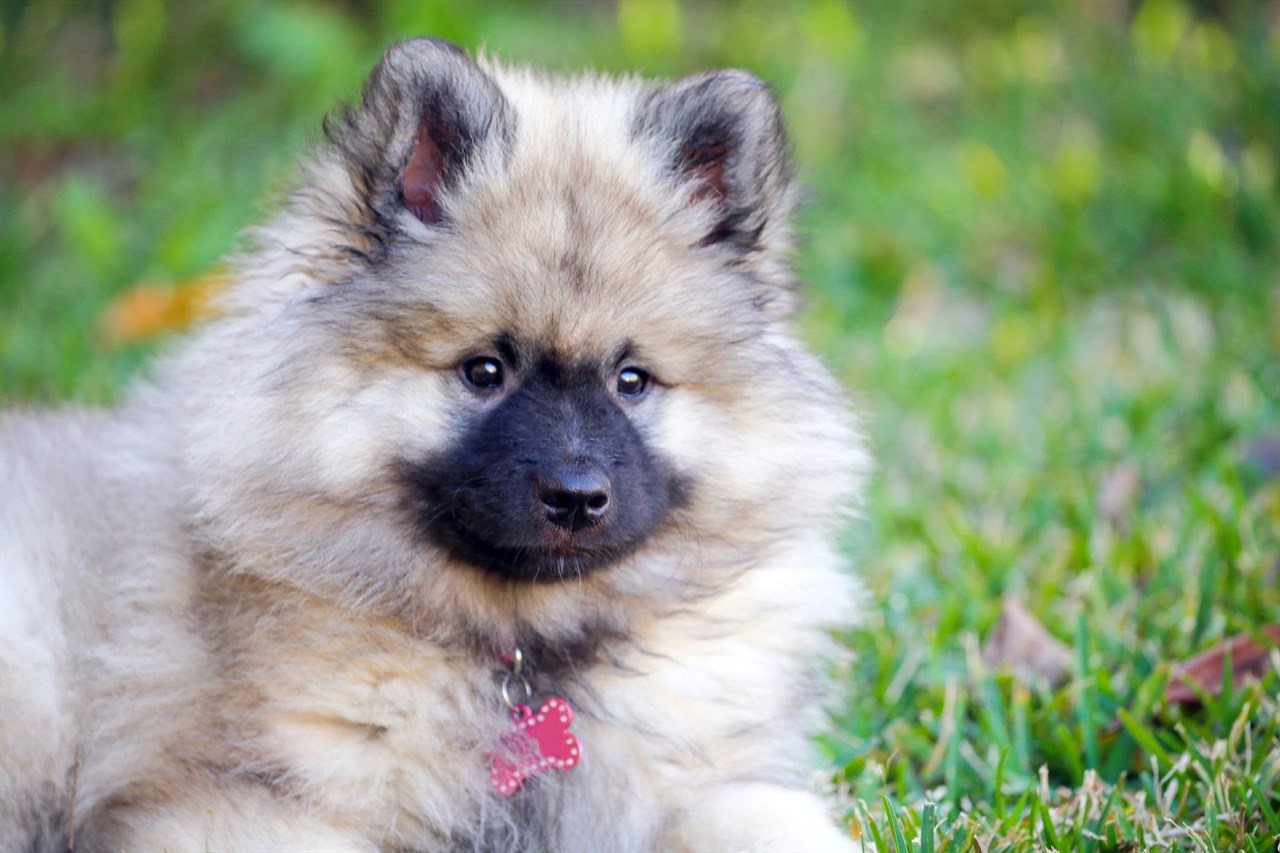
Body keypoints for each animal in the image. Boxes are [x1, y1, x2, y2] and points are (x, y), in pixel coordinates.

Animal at [0, 41, 870, 850]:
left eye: (632, 380)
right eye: (483, 370)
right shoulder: (235, 804)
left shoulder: (705, 784)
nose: (577, 496)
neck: (521, 660)